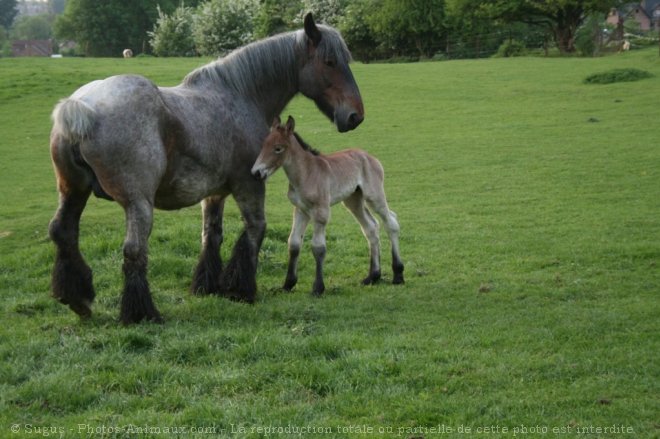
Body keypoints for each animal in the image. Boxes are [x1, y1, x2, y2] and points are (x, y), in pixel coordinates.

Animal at [49, 13, 364, 324]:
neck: (240, 95)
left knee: (63, 232)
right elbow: (255, 229)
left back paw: (78, 299)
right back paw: (142, 314)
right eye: (329, 62)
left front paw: (207, 285)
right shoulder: (249, 183)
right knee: (134, 251)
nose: (355, 116)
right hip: (138, 204)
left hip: (73, 192)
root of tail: (82, 108)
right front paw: (240, 289)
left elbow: (211, 235)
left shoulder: (214, 194)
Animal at [251, 117, 402, 296]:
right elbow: (293, 243)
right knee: (371, 227)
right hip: (353, 201)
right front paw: (288, 284)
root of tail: (370, 157)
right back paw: (373, 276)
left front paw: (318, 287)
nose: (256, 173)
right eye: (263, 145)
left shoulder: (321, 212)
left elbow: (318, 247)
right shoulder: (300, 210)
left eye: (278, 148)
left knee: (391, 222)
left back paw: (398, 275)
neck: (307, 173)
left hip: (374, 196)